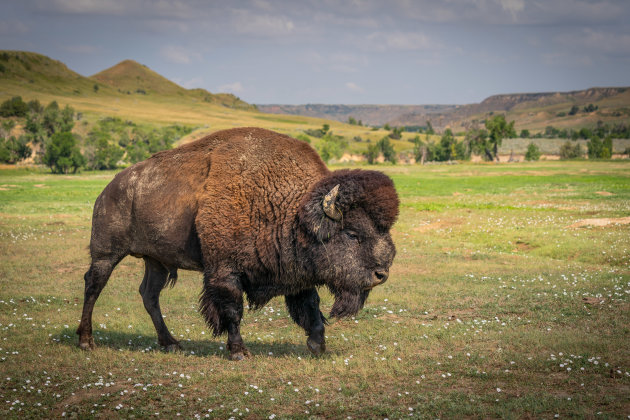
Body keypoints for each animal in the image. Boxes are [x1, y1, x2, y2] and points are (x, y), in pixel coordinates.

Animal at [76, 126, 398, 360]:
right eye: (352, 233)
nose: (381, 274)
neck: (292, 211)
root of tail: (109, 188)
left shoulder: (296, 272)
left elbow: (310, 305)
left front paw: (318, 345)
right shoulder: (224, 270)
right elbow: (232, 309)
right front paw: (239, 352)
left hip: (156, 261)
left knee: (149, 295)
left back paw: (170, 343)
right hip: (106, 253)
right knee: (94, 285)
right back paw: (86, 341)